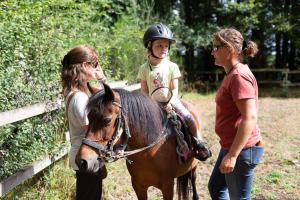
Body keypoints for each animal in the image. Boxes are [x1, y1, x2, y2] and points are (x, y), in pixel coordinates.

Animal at [75, 83, 211, 199]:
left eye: (107, 120)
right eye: (88, 118)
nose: (82, 161)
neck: (149, 152)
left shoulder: (167, 186)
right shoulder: (138, 186)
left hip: (193, 167)